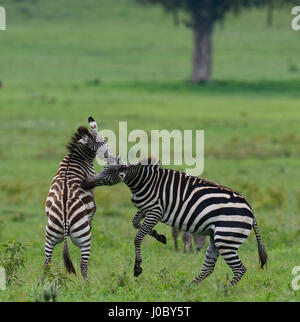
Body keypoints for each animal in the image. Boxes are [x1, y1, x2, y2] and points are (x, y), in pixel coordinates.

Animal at [43, 117, 117, 280]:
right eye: (103, 142)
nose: (113, 157)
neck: (76, 158)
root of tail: (65, 220)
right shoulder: (92, 186)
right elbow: (93, 208)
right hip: (84, 239)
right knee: (83, 265)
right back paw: (88, 285)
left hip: (49, 235)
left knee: (46, 262)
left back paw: (41, 283)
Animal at [81, 157, 268, 286]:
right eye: (103, 169)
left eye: (107, 174)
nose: (84, 183)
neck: (142, 182)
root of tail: (250, 210)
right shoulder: (146, 209)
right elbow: (135, 223)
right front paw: (159, 236)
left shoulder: (155, 211)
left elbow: (138, 237)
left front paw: (138, 267)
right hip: (218, 238)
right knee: (209, 266)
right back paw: (189, 287)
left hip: (227, 238)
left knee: (239, 268)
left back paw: (225, 291)